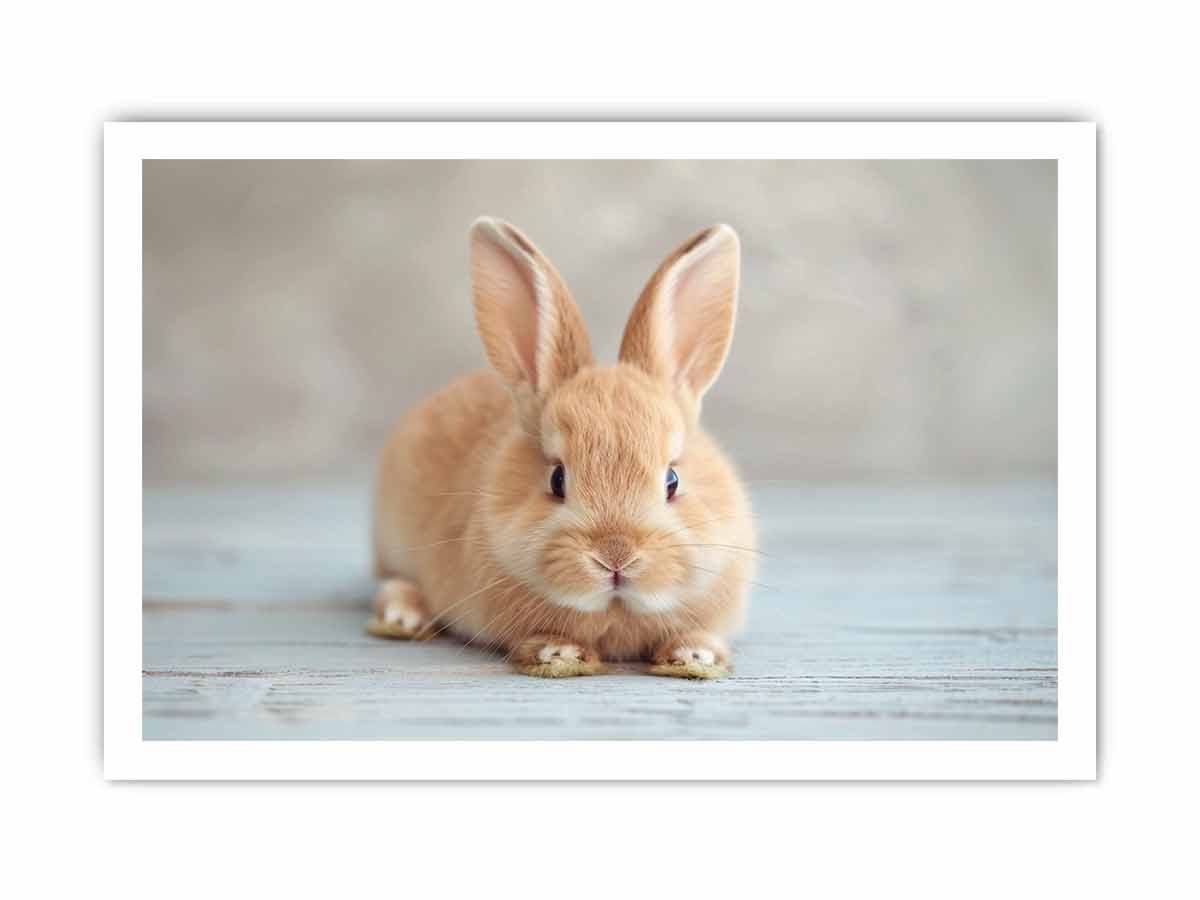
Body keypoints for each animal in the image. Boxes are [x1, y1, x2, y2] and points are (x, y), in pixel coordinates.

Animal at [368, 217, 755, 679]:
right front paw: (559, 654)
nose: (615, 556)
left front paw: (695, 656)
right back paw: (402, 618)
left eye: (672, 480)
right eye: (557, 479)